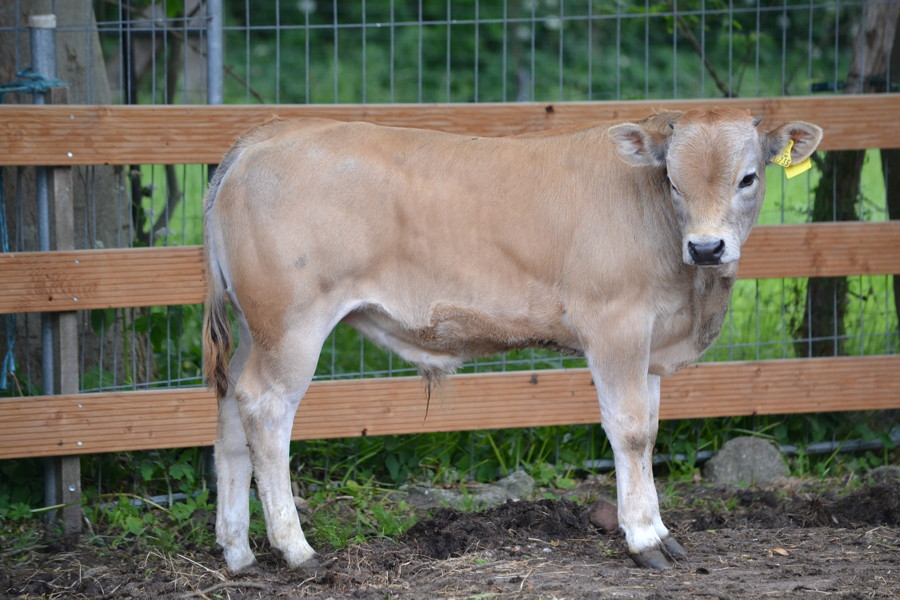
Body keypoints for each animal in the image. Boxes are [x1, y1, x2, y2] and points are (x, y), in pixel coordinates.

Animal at [204, 108, 824, 572]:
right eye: (673, 179)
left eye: (748, 178)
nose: (707, 247)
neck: (692, 292)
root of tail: (265, 135)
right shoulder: (616, 325)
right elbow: (628, 432)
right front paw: (644, 538)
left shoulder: (649, 349)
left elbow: (648, 432)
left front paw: (659, 528)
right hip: (292, 326)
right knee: (265, 410)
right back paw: (296, 550)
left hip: (253, 330)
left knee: (231, 411)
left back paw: (238, 552)